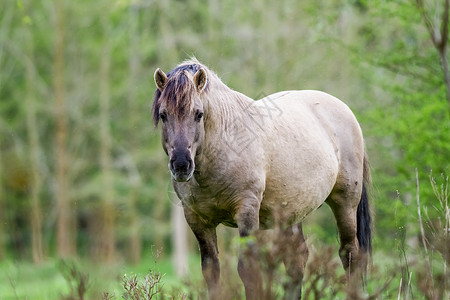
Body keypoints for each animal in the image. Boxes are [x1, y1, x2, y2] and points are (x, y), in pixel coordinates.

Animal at [153, 59, 370, 300]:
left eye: (198, 114)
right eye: (163, 115)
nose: (181, 164)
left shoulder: (247, 212)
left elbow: (247, 270)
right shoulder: (198, 220)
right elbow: (211, 271)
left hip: (345, 203)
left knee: (350, 254)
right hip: (291, 213)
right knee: (297, 260)